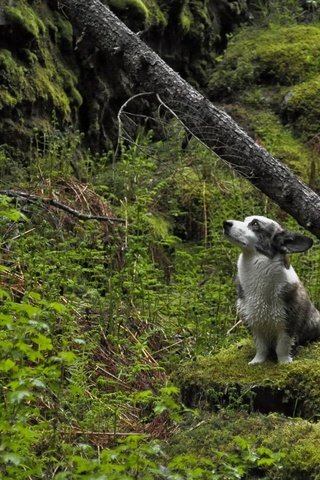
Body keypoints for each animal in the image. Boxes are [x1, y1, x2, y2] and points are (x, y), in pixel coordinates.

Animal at [224, 215, 320, 364]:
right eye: (245, 220)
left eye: (255, 224)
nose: (225, 223)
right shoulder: (254, 323)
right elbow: (261, 347)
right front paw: (257, 361)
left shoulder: (288, 323)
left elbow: (282, 347)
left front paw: (284, 362)